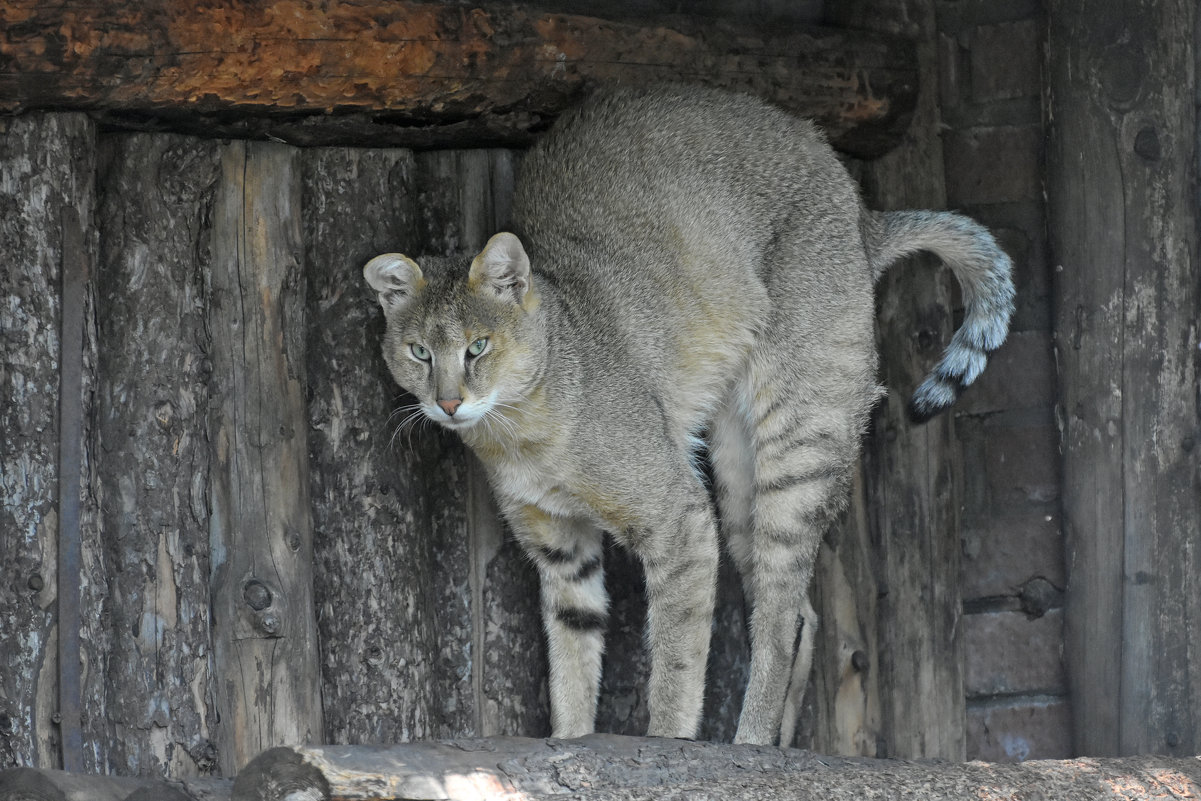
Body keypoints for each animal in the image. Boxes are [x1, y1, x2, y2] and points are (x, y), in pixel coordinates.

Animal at [362, 84, 1013, 749]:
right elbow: (571, 661)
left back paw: (749, 743)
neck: (518, 434)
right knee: (799, 613)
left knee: (779, 613)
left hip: (801, 432)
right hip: (734, 466)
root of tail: (861, 213)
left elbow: (676, 659)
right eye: (419, 352)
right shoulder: (561, 549)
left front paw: (668, 742)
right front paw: (568, 742)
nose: (447, 403)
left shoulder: (678, 520)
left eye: (477, 347)